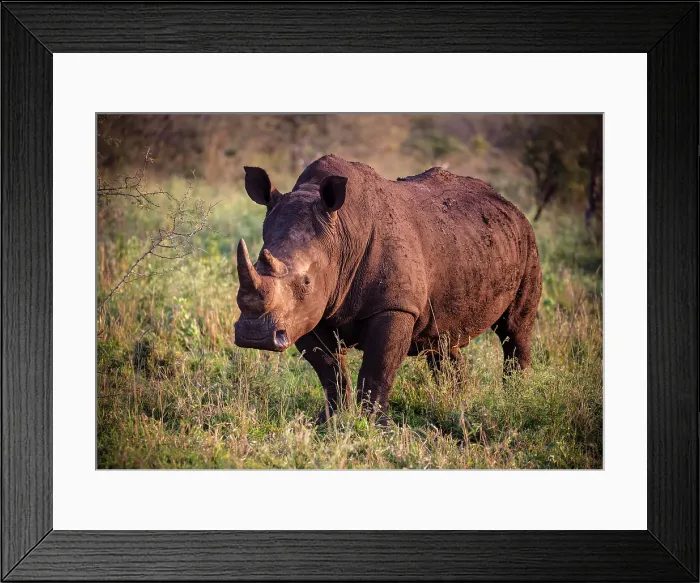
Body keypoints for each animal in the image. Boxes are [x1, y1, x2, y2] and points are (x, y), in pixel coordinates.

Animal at [234, 154, 542, 424]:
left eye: (306, 282)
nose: (254, 335)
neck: (341, 235)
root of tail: (510, 206)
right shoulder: (306, 315)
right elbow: (329, 371)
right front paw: (330, 421)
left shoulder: (395, 306)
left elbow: (378, 367)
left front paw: (375, 426)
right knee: (442, 340)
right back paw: (457, 403)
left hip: (527, 242)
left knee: (515, 329)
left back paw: (516, 399)